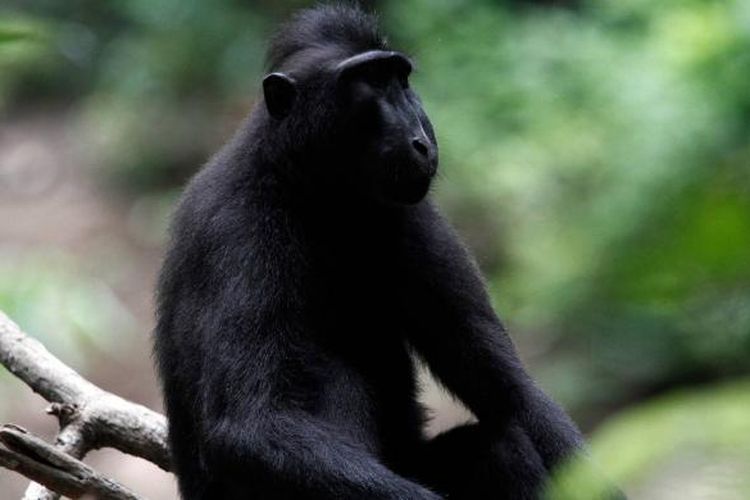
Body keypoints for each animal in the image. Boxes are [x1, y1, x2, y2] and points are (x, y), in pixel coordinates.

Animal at [157, 4, 592, 500]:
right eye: (368, 82)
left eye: (400, 79)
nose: (422, 139)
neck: (320, 198)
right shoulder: (238, 232)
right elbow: (250, 423)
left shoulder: (413, 216)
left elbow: (509, 391)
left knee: (506, 445)